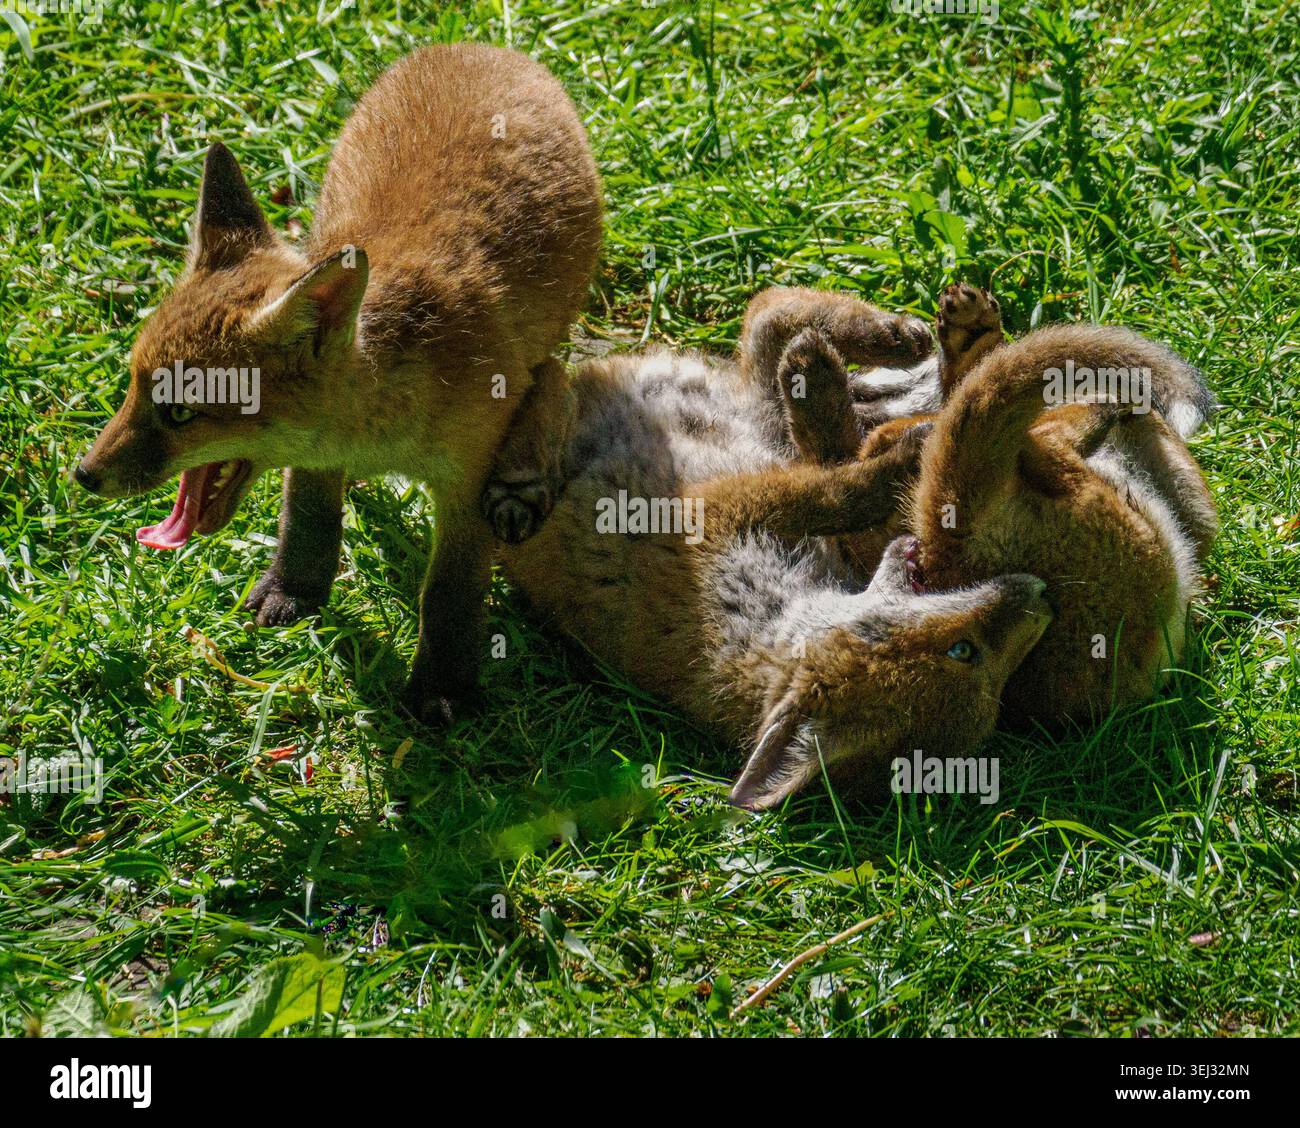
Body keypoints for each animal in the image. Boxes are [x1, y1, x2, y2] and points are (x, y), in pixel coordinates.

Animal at [73, 44, 603, 723]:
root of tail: (477, 46)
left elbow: (450, 589)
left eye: (183, 412)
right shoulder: (315, 456)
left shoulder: (466, 475)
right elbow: (308, 513)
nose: (84, 475)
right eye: (134, 387)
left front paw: (442, 685)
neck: (376, 430)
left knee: (553, 379)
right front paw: (295, 589)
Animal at [495, 288, 1053, 810]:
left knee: (772, 316)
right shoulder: (725, 508)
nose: (1043, 597)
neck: (745, 620)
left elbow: (837, 470)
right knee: (770, 315)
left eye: (996, 690)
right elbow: (840, 489)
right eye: (964, 651)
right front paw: (908, 451)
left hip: (758, 412)